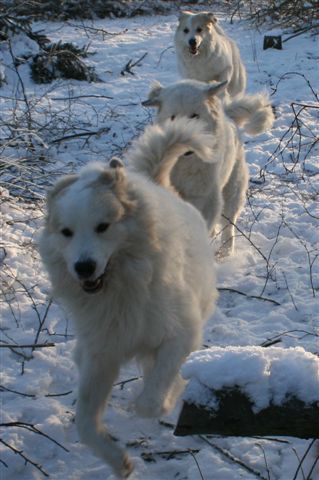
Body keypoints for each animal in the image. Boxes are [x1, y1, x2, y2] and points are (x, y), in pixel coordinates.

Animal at [39, 117, 218, 476]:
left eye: (103, 226)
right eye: (66, 233)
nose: (83, 267)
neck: (121, 286)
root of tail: (157, 183)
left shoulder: (181, 333)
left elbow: (150, 400)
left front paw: (167, 396)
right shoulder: (102, 354)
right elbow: (84, 422)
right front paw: (117, 461)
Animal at [142, 79, 276, 255]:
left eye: (194, 115)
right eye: (172, 118)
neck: (184, 164)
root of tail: (229, 115)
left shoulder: (204, 196)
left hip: (231, 192)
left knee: (228, 227)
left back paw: (225, 252)